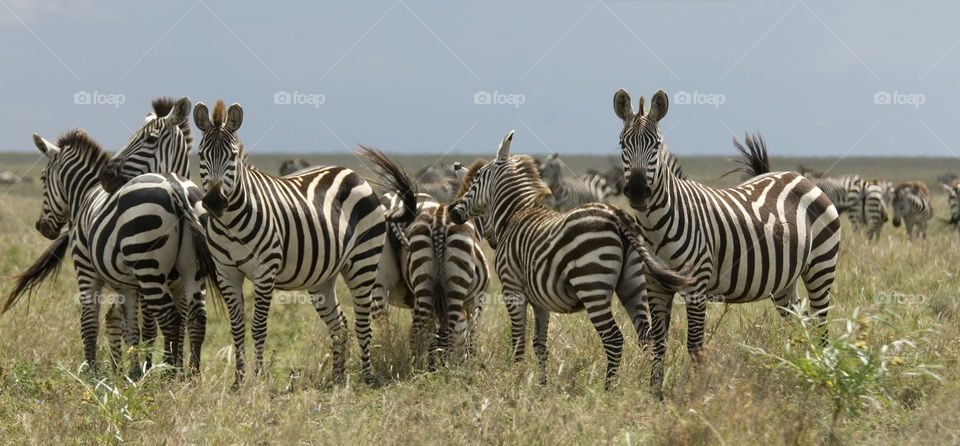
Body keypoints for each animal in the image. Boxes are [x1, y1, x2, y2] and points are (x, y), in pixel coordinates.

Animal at [3, 130, 218, 374]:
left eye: (42, 178)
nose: (41, 227)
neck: (85, 194)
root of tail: (176, 188)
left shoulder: (85, 269)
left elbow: (89, 322)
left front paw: (92, 372)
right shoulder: (130, 285)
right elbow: (130, 329)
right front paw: (132, 373)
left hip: (149, 266)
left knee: (170, 319)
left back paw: (168, 376)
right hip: (191, 270)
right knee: (197, 319)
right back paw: (190, 377)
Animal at [192, 100, 386, 385]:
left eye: (233, 156)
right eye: (201, 155)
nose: (215, 202)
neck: (229, 223)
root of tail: (350, 172)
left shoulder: (264, 273)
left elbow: (259, 327)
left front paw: (259, 379)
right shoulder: (227, 274)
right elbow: (237, 327)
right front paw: (238, 381)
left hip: (364, 261)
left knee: (363, 323)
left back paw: (367, 377)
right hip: (323, 276)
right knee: (339, 324)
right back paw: (337, 378)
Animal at [356, 147, 489, 365]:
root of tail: (394, 205)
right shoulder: (475, 299)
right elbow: (469, 333)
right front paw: (464, 361)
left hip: (379, 285)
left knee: (386, 329)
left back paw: (390, 359)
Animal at [448, 130, 692, 389]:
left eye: (476, 180)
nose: (452, 211)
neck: (515, 214)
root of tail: (617, 215)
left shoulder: (511, 289)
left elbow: (518, 342)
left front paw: (515, 381)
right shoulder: (540, 300)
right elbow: (539, 344)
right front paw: (541, 385)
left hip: (592, 286)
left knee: (614, 339)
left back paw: (608, 389)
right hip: (633, 284)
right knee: (646, 336)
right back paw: (641, 384)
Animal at [613, 88, 841, 398]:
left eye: (656, 145)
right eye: (622, 143)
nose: (637, 191)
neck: (656, 226)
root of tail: (797, 177)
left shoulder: (696, 287)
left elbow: (695, 347)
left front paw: (696, 396)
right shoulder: (655, 286)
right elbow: (658, 344)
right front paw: (655, 396)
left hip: (820, 266)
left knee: (821, 323)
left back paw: (822, 375)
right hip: (785, 282)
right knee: (801, 320)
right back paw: (798, 370)